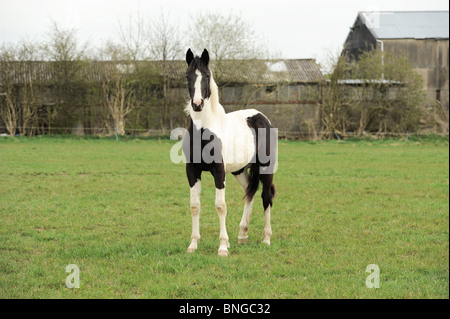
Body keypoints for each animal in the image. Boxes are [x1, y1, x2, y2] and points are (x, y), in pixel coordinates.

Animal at [181, 48, 276, 258]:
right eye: (188, 76)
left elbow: (220, 206)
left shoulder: (219, 171)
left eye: (207, 76)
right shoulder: (192, 171)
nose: (197, 104)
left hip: (266, 168)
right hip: (239, 170)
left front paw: (223, 246)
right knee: (250, 190)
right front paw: (193, 244)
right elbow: (194, 205)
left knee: (266, 196)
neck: (204, 129)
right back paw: (242, 234)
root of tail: (262, 117)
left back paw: (266, 239)